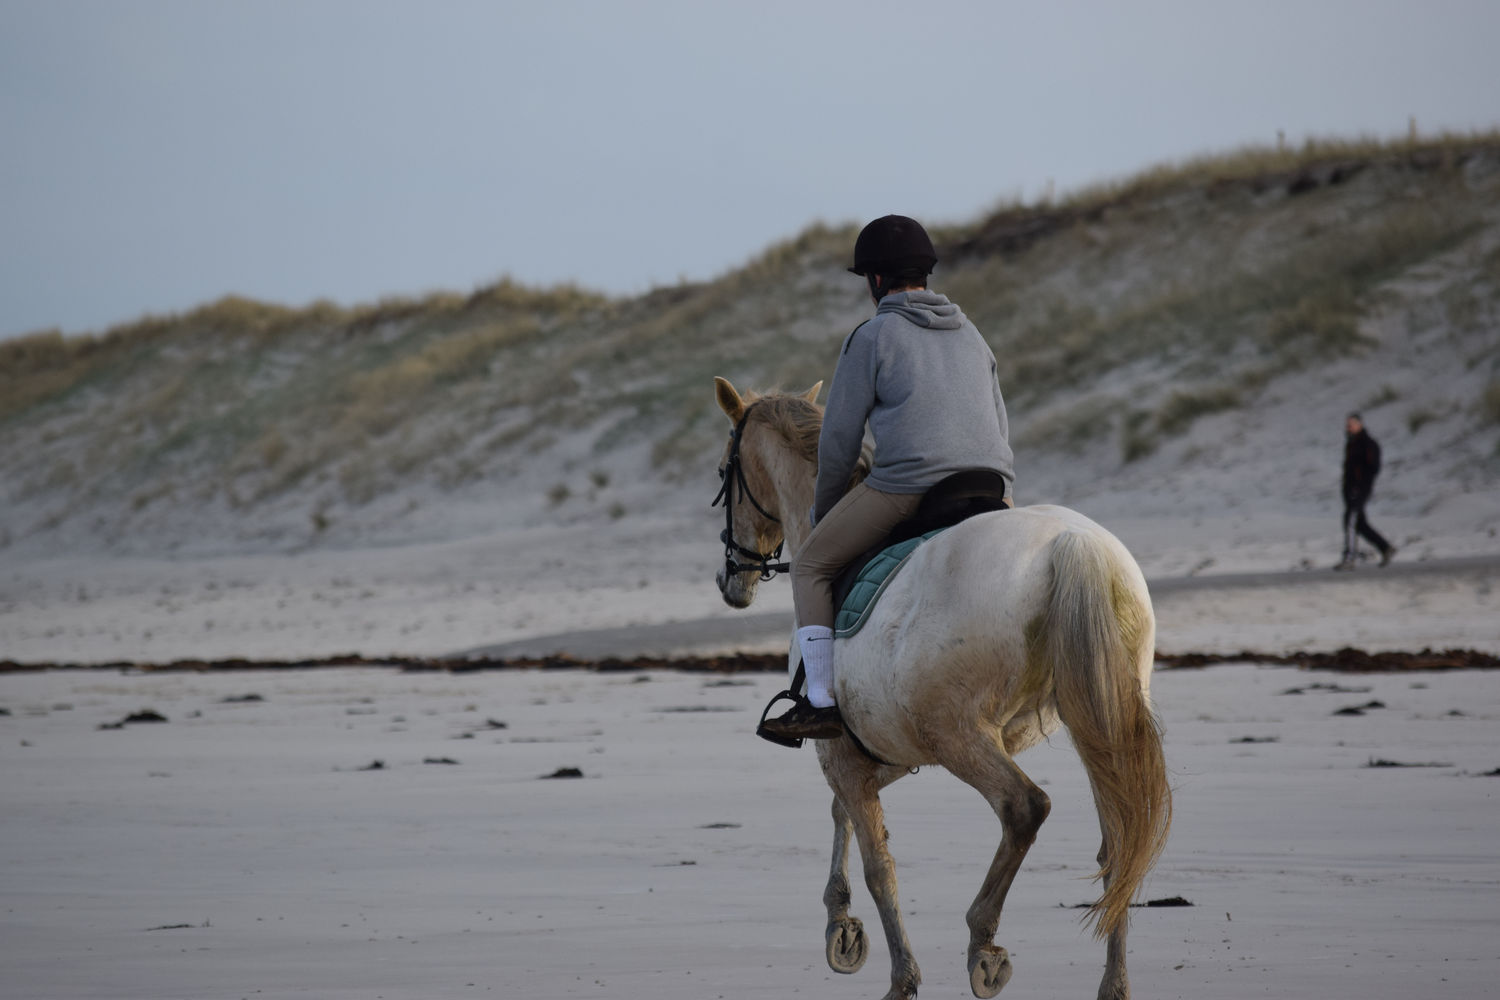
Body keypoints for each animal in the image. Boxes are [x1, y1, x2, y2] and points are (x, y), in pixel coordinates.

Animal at [714, 379, 1170, 1000]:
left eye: (723, 472)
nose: (730, 579)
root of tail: (1069, 543)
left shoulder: (843, 753)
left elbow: (878, 863)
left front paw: (896, 972)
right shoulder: (888, 748)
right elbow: (844, 816)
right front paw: (842, 924)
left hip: (962, 739)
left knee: (1024, 808)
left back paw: (983, 941)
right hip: (1094, 725)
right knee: (1119, 834)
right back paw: (1113, 983)